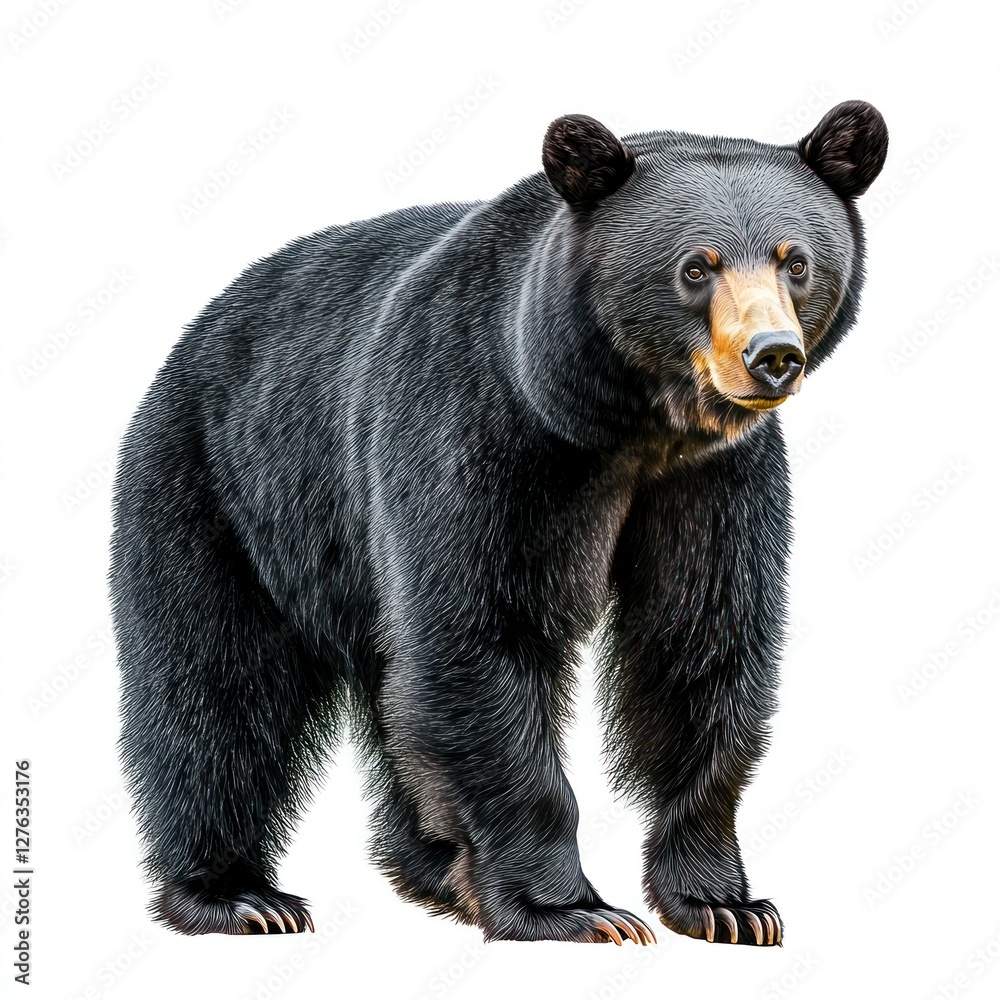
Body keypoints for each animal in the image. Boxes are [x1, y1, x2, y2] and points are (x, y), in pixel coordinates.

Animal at [110, 100, 888, 946]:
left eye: (795, 262)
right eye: (696, 266)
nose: (771, 355)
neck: (625, 426)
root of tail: (200, 329)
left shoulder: (714, 482)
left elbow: (697, 644)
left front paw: (724, 904)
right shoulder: (479, 431)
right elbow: (485, 635)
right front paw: (573, 909)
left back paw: (434, 871)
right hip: (225, 490)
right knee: (216, 683)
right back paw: (236, 894)